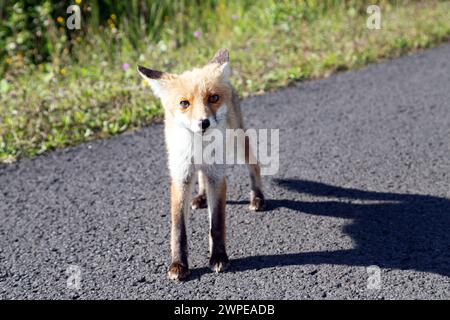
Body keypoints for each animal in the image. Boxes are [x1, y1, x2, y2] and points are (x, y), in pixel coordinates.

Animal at [137, 47, 264, 280]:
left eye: (213, 98)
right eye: (184, 103)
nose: (203, 122)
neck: (199, 148)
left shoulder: (217, 176)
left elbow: (217, 224)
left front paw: (219, 257)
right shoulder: (181, 176)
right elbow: (179, 230)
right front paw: (178, 264)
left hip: (238, 141)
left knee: (255, 166)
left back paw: (257, 198)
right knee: (201, 176)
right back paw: (202, 197)